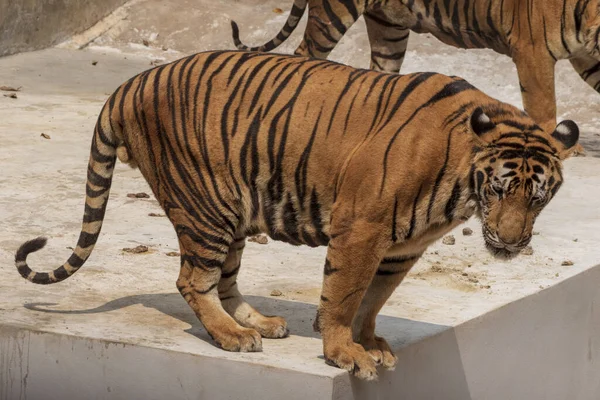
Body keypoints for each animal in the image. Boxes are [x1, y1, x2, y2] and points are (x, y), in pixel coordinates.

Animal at [12, 50, 576, 382]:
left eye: (539, 197)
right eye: (499, 188)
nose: (510, 243)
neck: (461, 182)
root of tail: (127, 84)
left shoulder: (403, 249)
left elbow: (374, 299)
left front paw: (370, 342)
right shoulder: (362, 228)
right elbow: (345, 295)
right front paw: (345, 351)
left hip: (234, 209)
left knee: (225, 279)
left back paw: (256, 323)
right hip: (206, 206)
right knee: (193, 280)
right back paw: (233, 338)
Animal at [229, 0, 596, 154]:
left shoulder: (588, 58)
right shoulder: (533, 52)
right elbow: (544, 105)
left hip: (389, 28)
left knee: (380, 74)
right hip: (334, 13)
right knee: (304, 53)